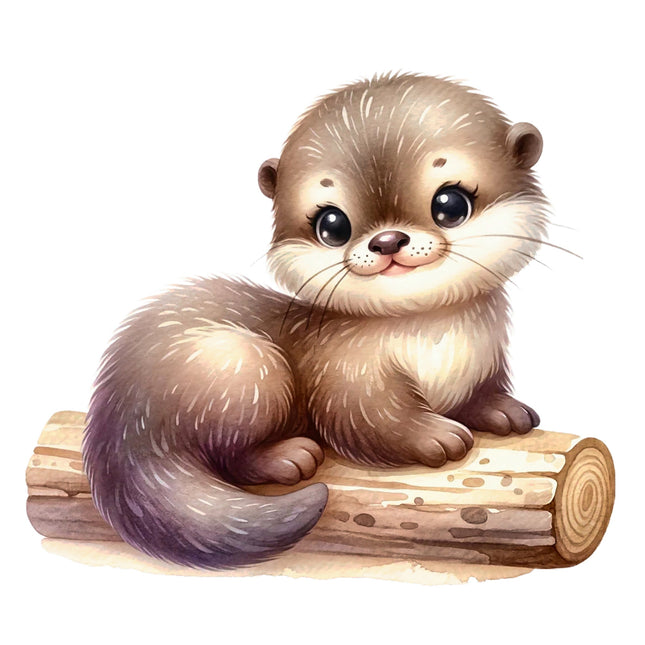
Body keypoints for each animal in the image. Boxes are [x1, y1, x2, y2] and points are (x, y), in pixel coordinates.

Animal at [83, 73, 547, 569]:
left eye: (451, 203)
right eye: (332, 224)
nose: (387, 240)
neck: (437, 346)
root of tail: (117, 423)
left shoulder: (485, 358)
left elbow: (479, 394)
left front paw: (503, 409)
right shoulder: (345, 372)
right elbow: (369, 420)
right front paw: (434, 435)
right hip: (239, 365)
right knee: (231, 454)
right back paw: (288, 458)